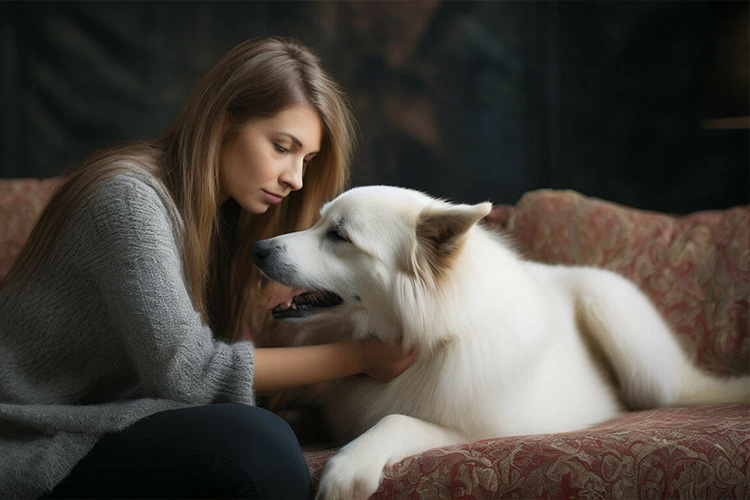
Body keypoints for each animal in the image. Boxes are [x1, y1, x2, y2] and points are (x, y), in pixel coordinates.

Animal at [254, 187, 750, 500]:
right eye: (320, 222)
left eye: (339, 235)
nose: (257, 248)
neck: (435, 334)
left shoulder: (477, 429)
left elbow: (397, 420)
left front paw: (348, 466)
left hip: (628, 337)